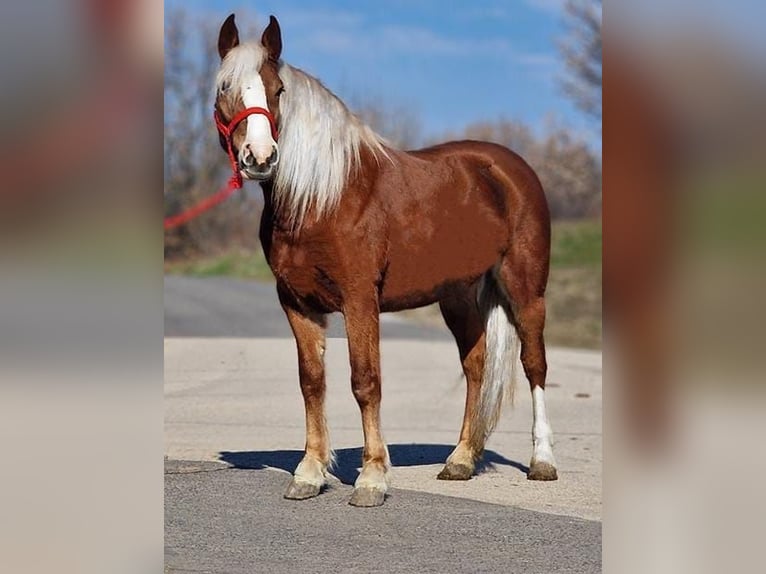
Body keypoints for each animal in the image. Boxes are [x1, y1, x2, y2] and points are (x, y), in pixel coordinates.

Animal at [216, 14, 560, 508]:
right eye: (224, 87)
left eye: (277, 89)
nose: (260, 158)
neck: (321, 197)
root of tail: (510, 168)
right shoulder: (297, 303)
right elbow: (312, 382)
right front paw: (309, 473)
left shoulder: (360, 299)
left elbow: (365, 381)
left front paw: (372, 479)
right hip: (458, 297)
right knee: (476, 365)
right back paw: (460, 460)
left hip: (525, 289)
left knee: (534, 364)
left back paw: (542, 462)